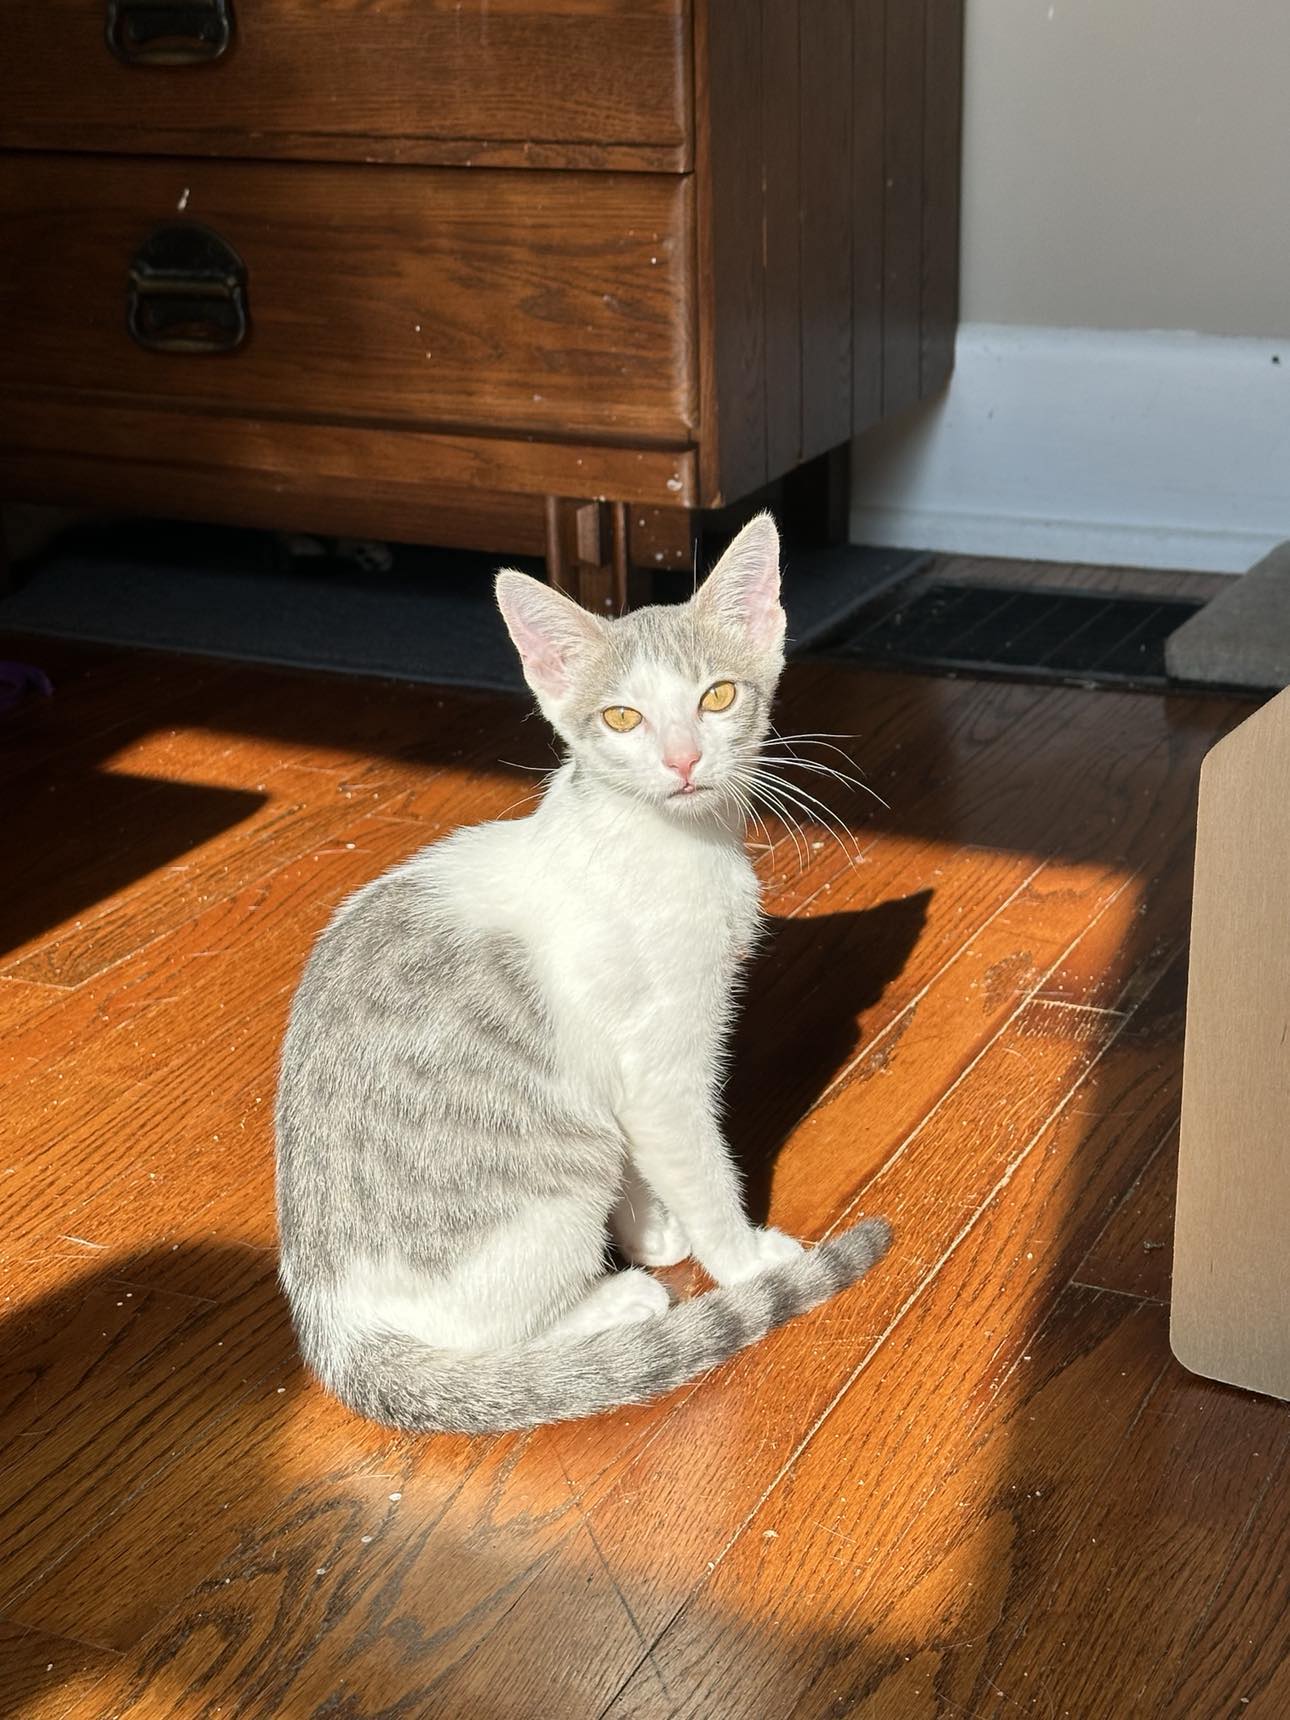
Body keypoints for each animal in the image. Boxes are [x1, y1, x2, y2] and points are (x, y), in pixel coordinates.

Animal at [275, 516, 887, 1431]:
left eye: (717, 697)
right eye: (622, 717)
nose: (682, 761)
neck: (671, 843)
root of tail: (334, 1327)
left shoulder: (623, 1069)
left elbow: (649, 1159)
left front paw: (650, 1228)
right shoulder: (661, 1069)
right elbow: (699, 1166)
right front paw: (743, 1261)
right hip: (557, 1175)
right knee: (494, 1340)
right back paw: (614, 1304)